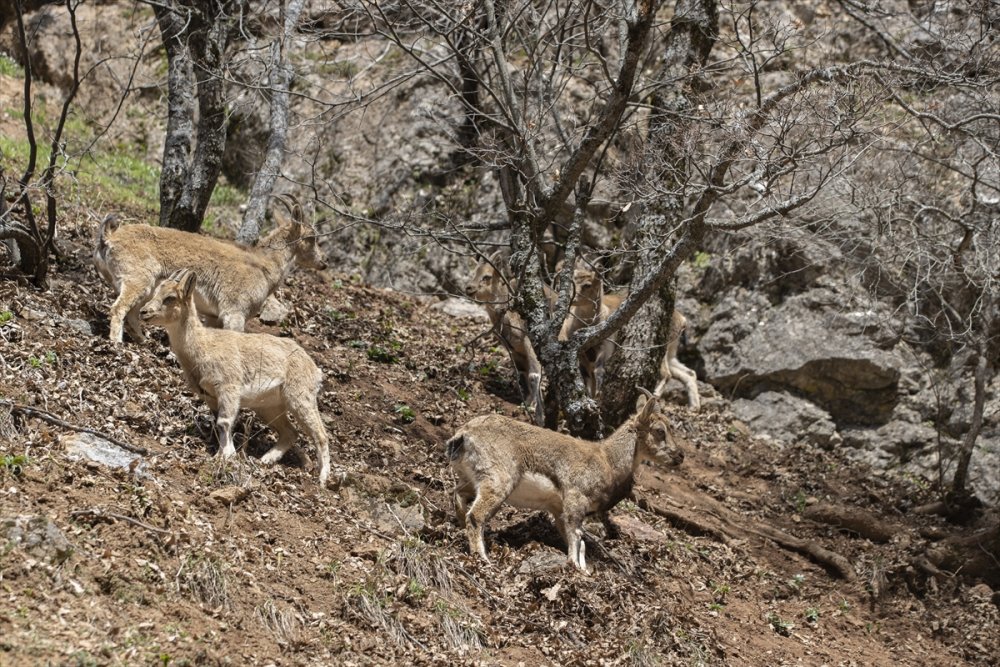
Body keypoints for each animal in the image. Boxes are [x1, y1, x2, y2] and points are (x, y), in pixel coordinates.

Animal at [94, 197, 324, 344]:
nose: (323, 263)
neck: (263, 266)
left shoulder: (214, 316)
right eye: (311, 237)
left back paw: (142, 341)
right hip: (138, 280)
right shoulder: (234, 312)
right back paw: (117, 343)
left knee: (133, 313)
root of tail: (109, 238)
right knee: (119, 308)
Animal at [140, 268, 332, 488]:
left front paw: (226, 455)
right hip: (269, 406)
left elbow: (224, 422)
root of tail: (314, 369)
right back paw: (266, 459)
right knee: (290, 432)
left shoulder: (229, 387)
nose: (144, 312)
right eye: (156, 291)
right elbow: (219, 422)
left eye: (170, 298)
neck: (203, 346)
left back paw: (323, 478)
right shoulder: (209, 396)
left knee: (320, 435)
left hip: (300, 397)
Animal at [450, 392, 684, 576]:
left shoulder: (558, 508)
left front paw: (583, 568)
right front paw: (577, 568)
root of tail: (464, 434)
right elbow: (577, 537)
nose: (680, 456)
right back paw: (483, 559)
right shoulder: (576, 499)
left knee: (458, 496)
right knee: (475, 516)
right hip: (498, 481)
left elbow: (574, 538)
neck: (608, 460)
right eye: (660, 431)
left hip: (472, 480)